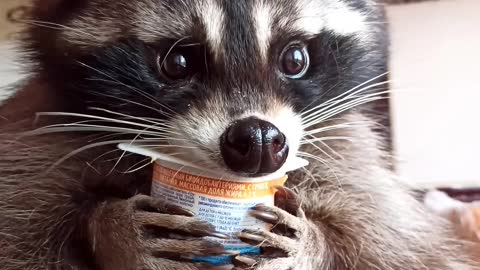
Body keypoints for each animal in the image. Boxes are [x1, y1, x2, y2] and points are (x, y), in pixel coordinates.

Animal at [0, 0, 478, 270]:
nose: (260, 142)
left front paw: (313, 245)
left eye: (295, 58)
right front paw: (112, 228)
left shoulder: (350, 158)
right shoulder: (37, 142)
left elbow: (403, 250)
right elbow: (20, 245)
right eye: (177, 62)